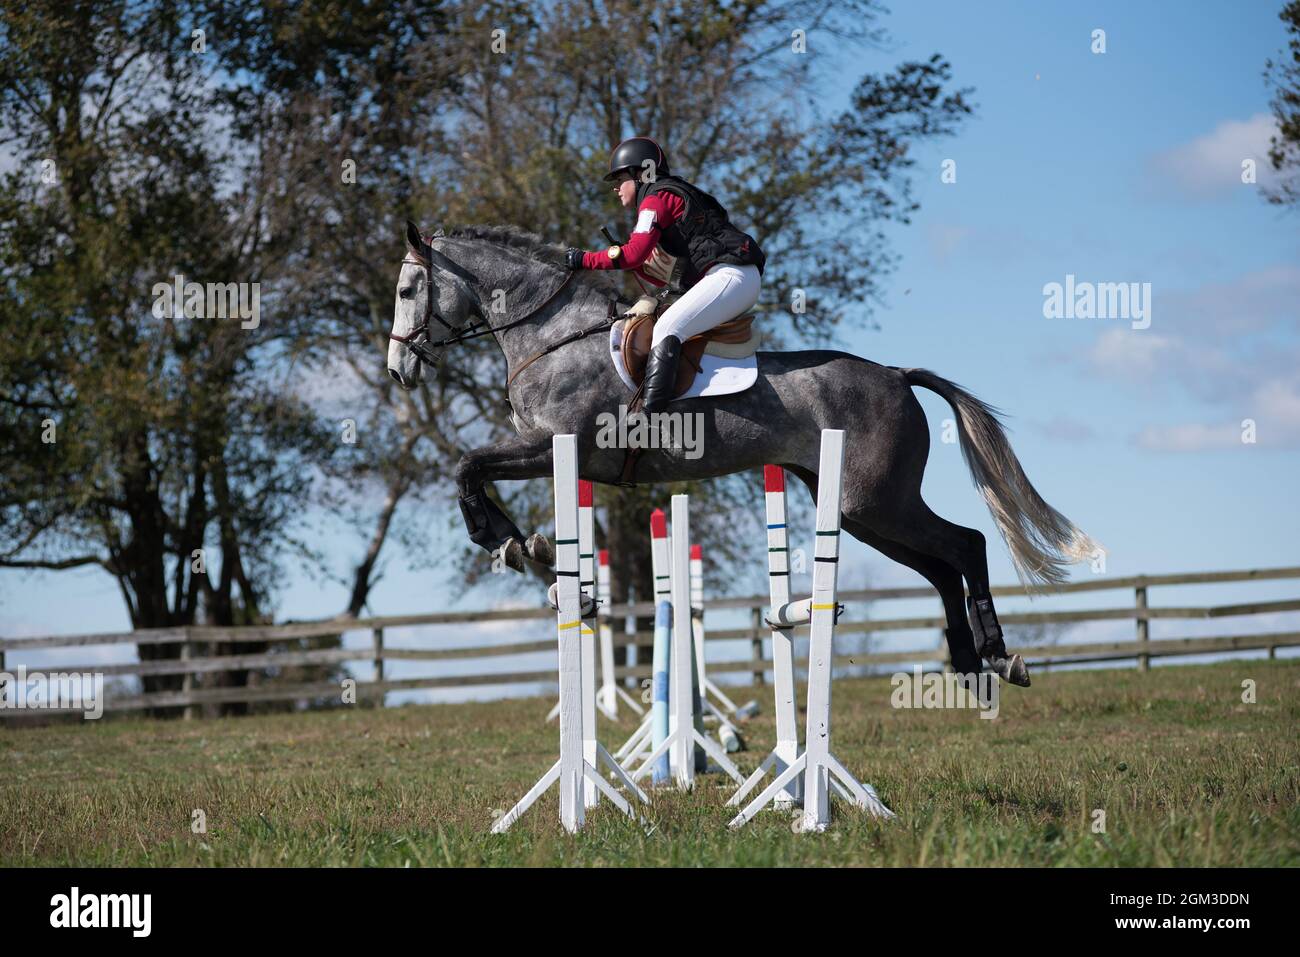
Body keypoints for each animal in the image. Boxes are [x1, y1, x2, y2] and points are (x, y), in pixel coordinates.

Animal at [384, 222, 1097, 686]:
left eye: (406, 292)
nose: (398, 369)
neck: (552, 333)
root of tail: (895, 375)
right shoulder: (549, 454)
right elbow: (473, 469)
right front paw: (519, 543)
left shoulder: (557, 446)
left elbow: (468, 466)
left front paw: (504, 539)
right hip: (859, 510)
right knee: (943, 567)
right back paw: (971, 666)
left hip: (877, 501)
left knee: (966, 545)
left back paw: (1000, 656)